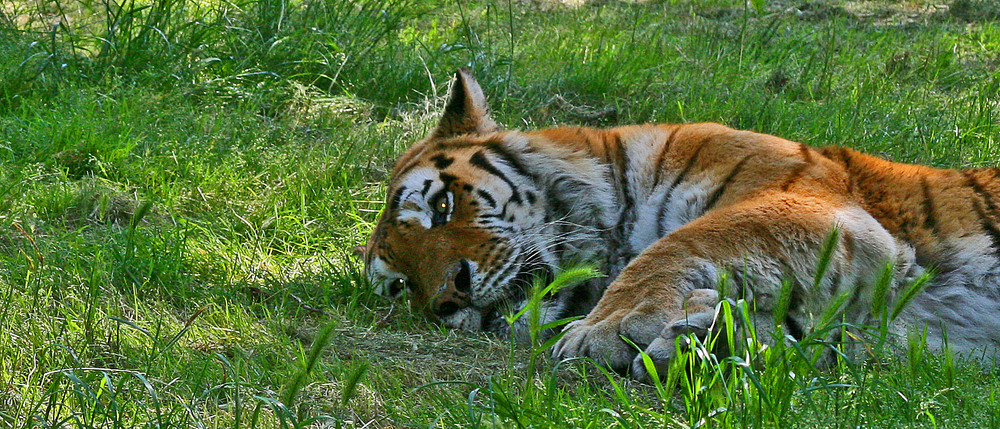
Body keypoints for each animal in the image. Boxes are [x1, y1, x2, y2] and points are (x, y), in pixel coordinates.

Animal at [360, 67, 1000, 378]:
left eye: (443, 206)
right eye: (402, 285)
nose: (450, 296)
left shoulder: (809, 200)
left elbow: (683, 243)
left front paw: (608, 327)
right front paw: (707, 334)